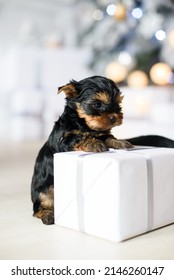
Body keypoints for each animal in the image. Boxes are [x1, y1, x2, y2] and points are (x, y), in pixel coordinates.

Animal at [30, 75, 132, 224]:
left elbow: (108, 137)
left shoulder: (102, 133)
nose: (114, 118)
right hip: (44, 191)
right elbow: (80, 137)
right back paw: (47, 214)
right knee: (38, 209)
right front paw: (94, 144)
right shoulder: (64, 140)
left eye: (118, 104)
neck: (84, 124)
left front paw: (120, 142)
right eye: (97, 104)